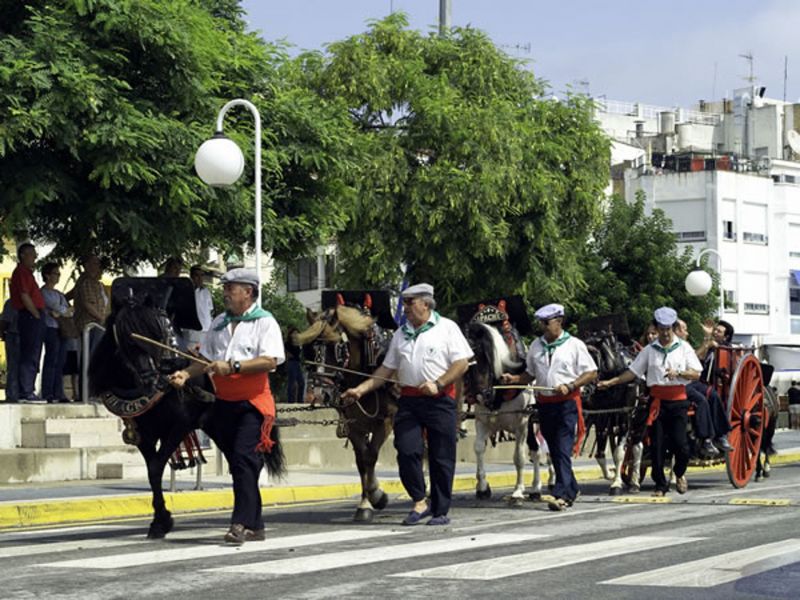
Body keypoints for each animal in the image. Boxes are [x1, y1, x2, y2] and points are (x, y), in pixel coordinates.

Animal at [88, 280, 284, 540]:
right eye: (130, 337)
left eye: (161, 331)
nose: (163, 375)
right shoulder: (143, 434)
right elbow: (152, 471)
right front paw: (160, 520)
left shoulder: (180, 424)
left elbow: (156, 467)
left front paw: (161, 521)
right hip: (220, 428)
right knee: (239, 465)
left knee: (247, 465)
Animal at [290, 298, 396, 524]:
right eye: (309, 349)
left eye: (337, 348)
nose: (317, 394)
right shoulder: (353, 425)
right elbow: (362, 461)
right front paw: (368, 502)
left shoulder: (386, 420)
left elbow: (371, 456)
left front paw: (375, 495)